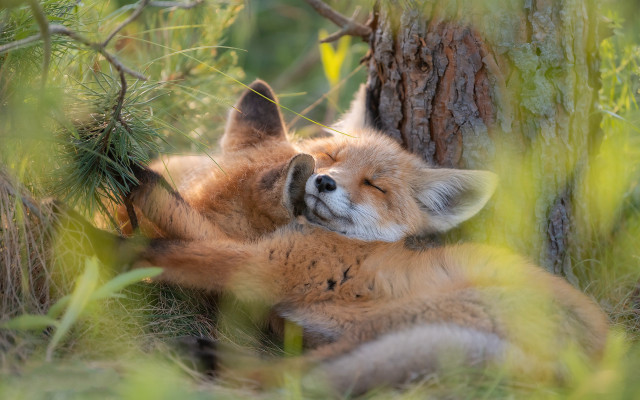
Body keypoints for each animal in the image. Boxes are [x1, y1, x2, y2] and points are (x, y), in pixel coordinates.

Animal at [94, 80, 608, 395]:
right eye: (331, 157)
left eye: (374, 185)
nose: (322, 182)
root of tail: (605, 361)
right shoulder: (266, 264)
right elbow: (184, 221)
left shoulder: (269, 264)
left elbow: (171, 238)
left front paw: (108, 219)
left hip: (406, 321)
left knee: (301, 381)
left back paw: (206, 360)